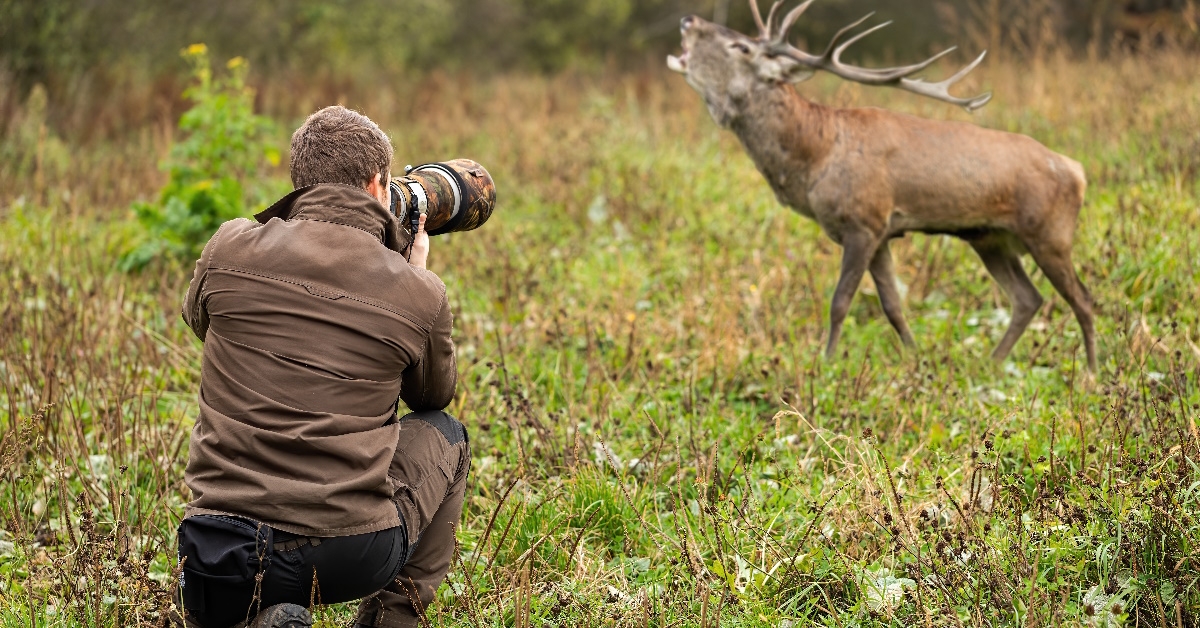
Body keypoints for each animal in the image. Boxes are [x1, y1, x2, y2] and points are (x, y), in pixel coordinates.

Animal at [668, 0, 1097, 372]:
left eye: (740, 46)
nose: (688, 18)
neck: (814, 158)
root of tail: (1077, 171)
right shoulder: (883, 234)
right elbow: (892, 305)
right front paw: (915, 358)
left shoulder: (864, 221)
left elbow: (840, 301)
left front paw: (826, 364)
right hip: (990, 238)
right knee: (1028, 298)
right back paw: (991, 363)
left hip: (1050, 233)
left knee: (1084, 299)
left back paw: (1092, 373)